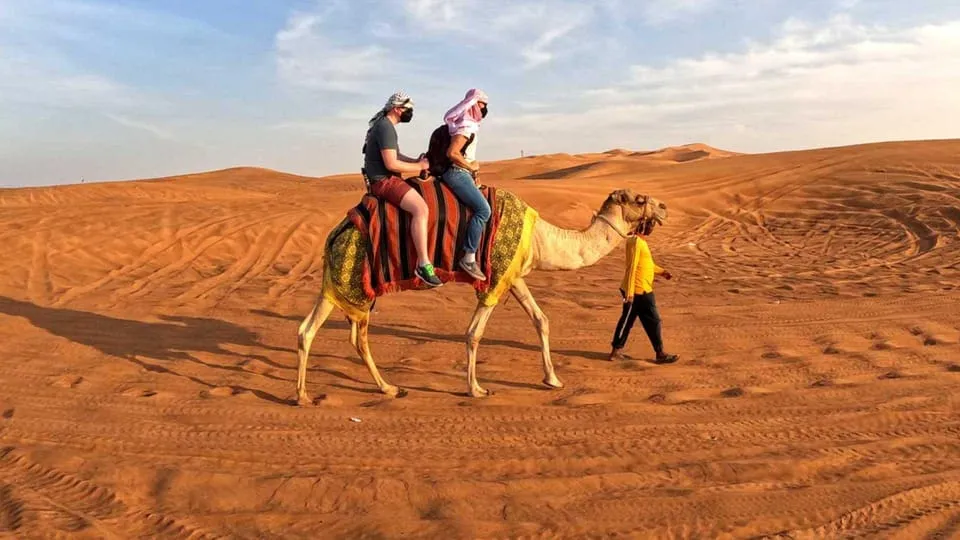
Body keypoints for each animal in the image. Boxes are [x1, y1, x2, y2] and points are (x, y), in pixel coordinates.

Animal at [295, 187, 667, 403]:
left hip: (344, 284)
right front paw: (475, 388)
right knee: (326, 333)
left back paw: (377, 389)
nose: (664, 207)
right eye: (639, 200)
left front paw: (553, 379)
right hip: (351, 277)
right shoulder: (494, 275)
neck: (541, 238)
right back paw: (315, 395)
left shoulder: (513, 275)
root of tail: (335, 233)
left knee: (329, 333)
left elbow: (541, 320)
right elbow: (474, 332)